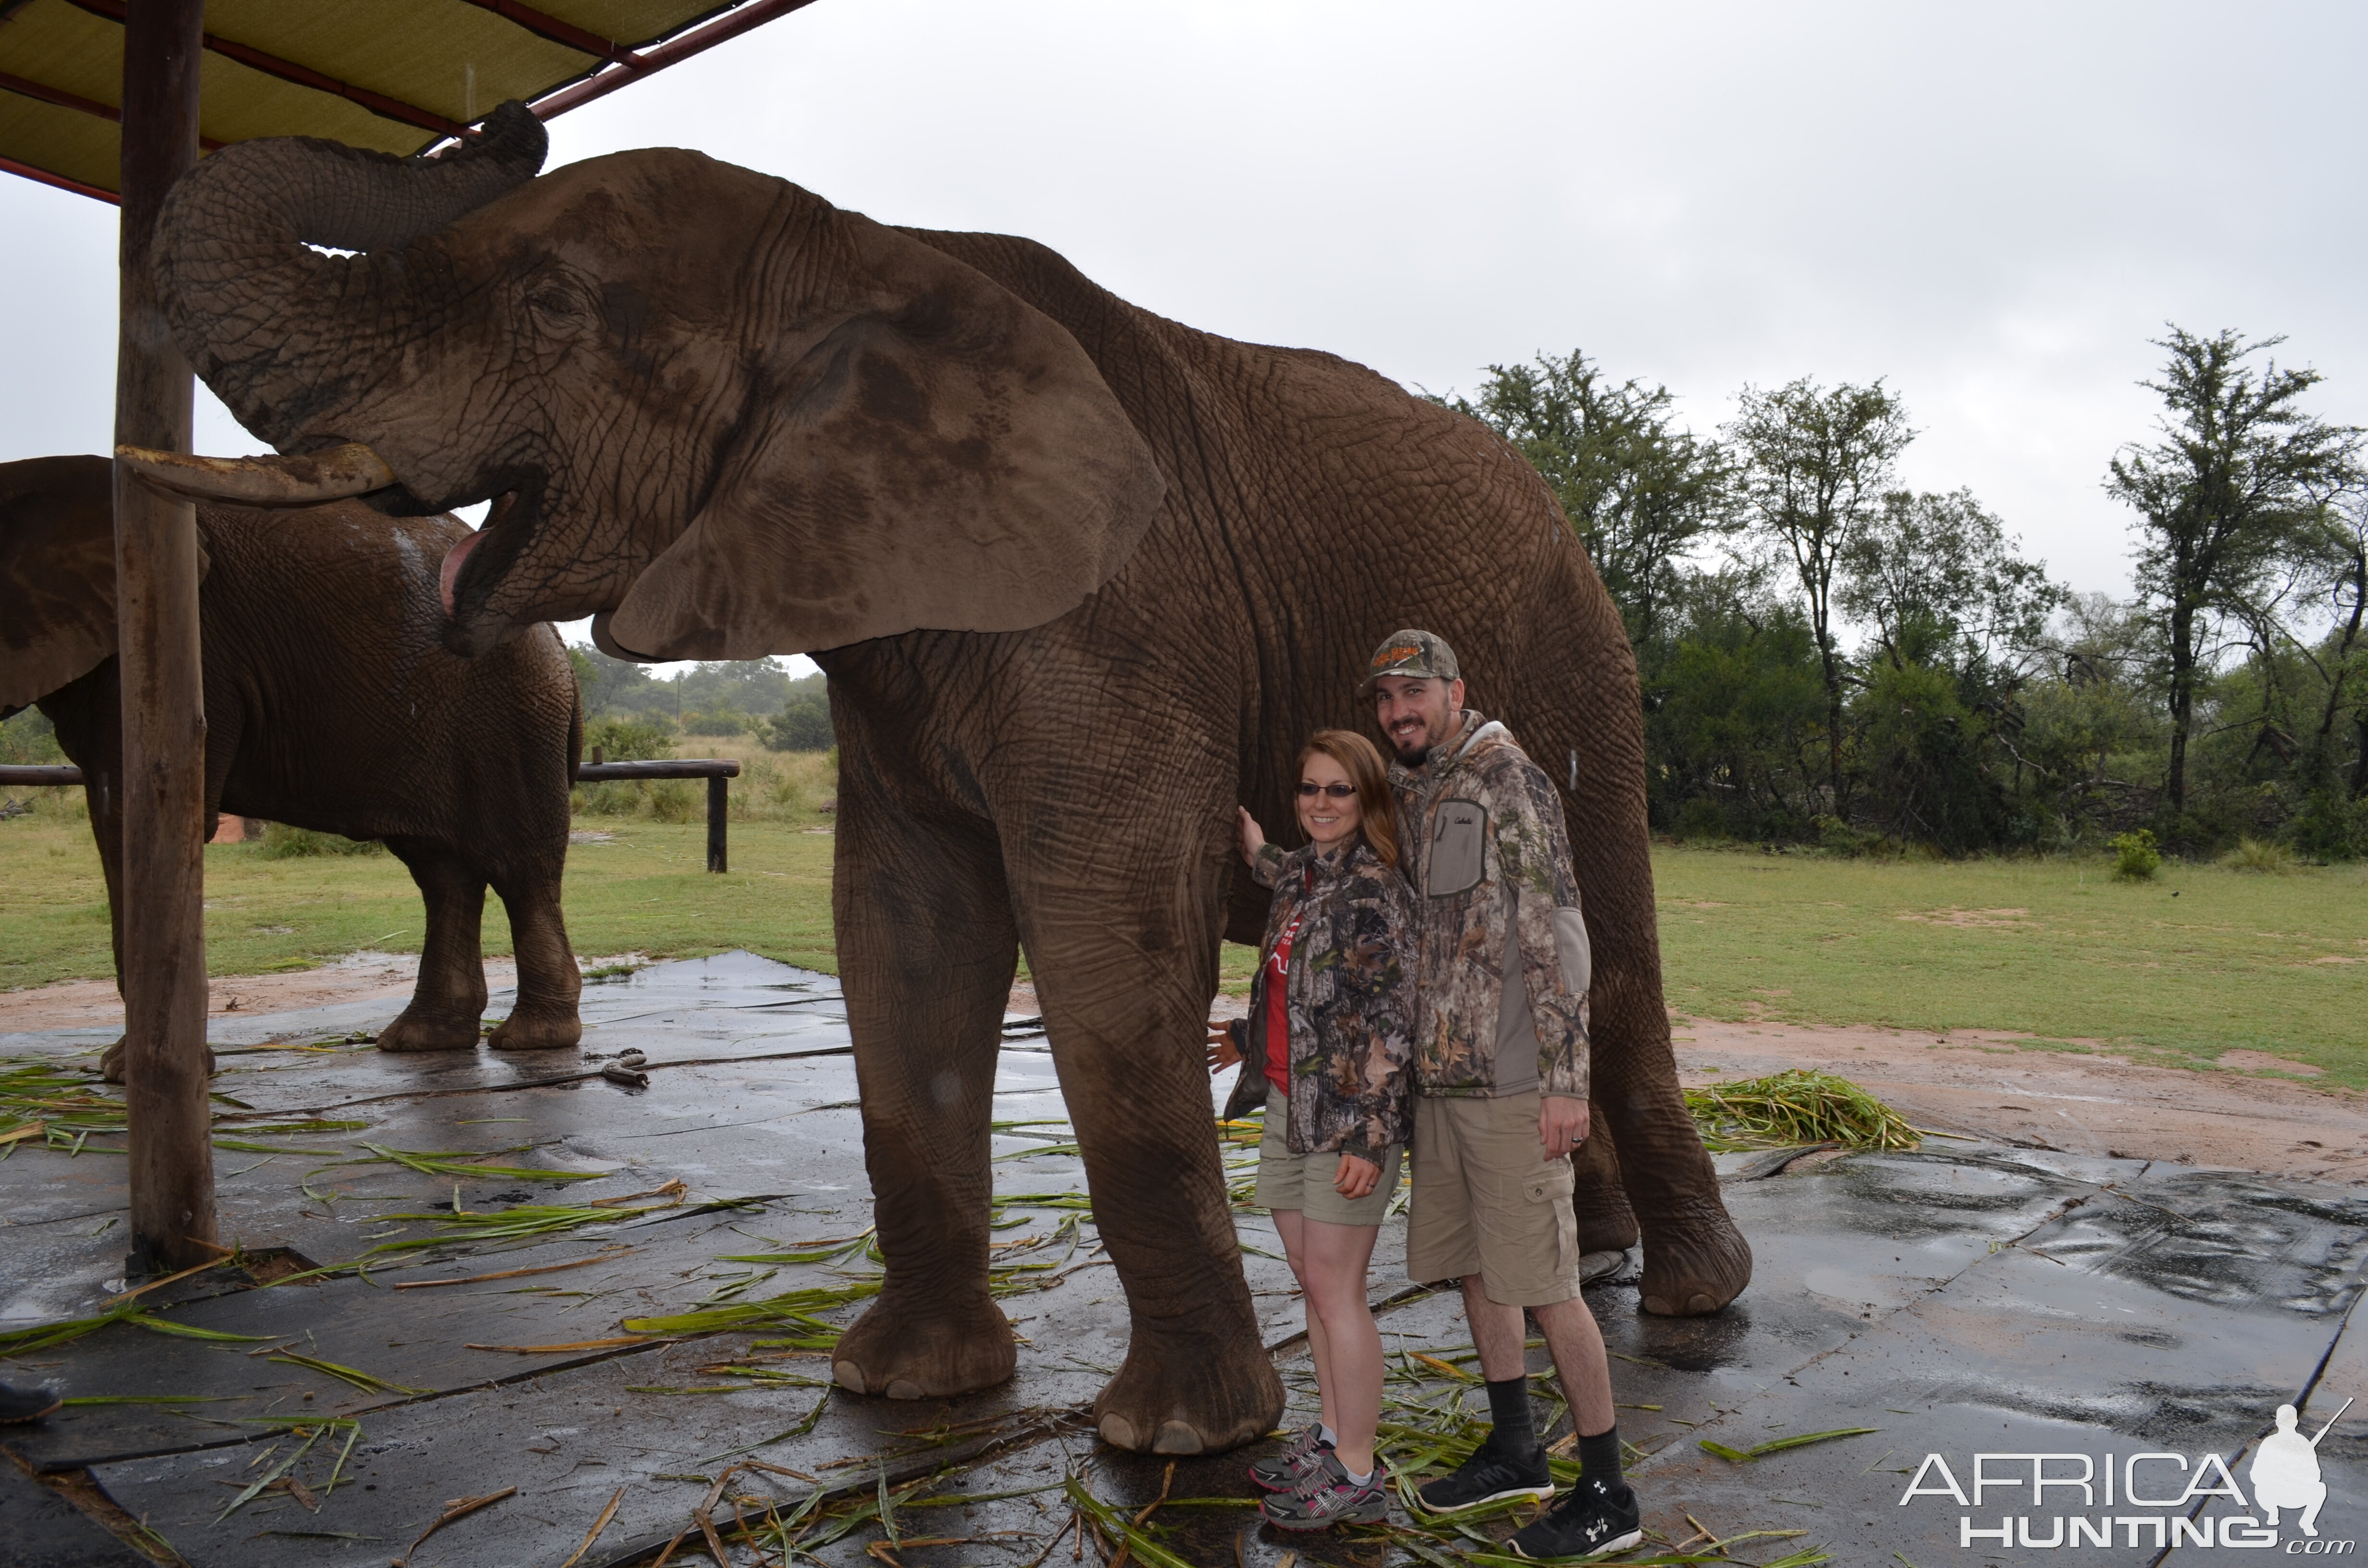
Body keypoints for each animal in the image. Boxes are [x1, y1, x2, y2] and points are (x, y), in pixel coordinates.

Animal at [0, 454, 587, 1070]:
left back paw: (530, 1039)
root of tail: (558, 646)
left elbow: (132, 826)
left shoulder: (188, 657)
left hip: (510, 714)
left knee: (519, 866)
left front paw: (126, 1071)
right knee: (442, 871)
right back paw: (421, 1039)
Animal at [129, 104, 1762, 1459]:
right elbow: (901, 944)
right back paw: (1587, 1256)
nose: (506, 118)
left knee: (1609, 957)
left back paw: (1688, 1294)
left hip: (1577, 671)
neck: (861, 250)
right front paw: (899, 1386)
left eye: (549, 310)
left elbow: (1106, 961)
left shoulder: (1116, 612)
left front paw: (1175, 1439)